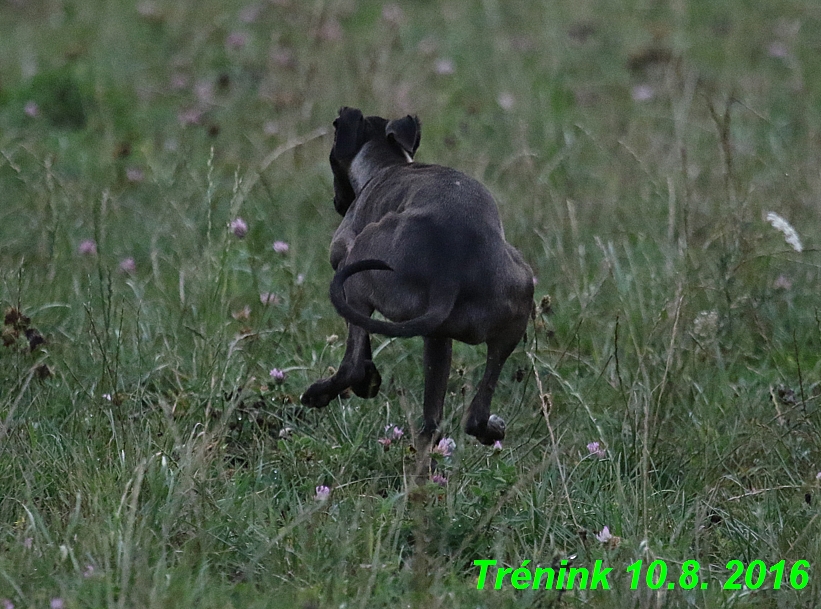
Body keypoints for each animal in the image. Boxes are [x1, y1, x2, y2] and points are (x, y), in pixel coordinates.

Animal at [302, 107, 532, 444]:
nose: (338, 202)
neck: (388, 164)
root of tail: (449, 270)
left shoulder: (344, 264)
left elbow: (360, 347)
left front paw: (367, 380)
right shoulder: (439, 338)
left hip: (359, 268)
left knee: (351, 365)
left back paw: (320, 393)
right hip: (510, 309)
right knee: (457, 420)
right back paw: (488, 431)